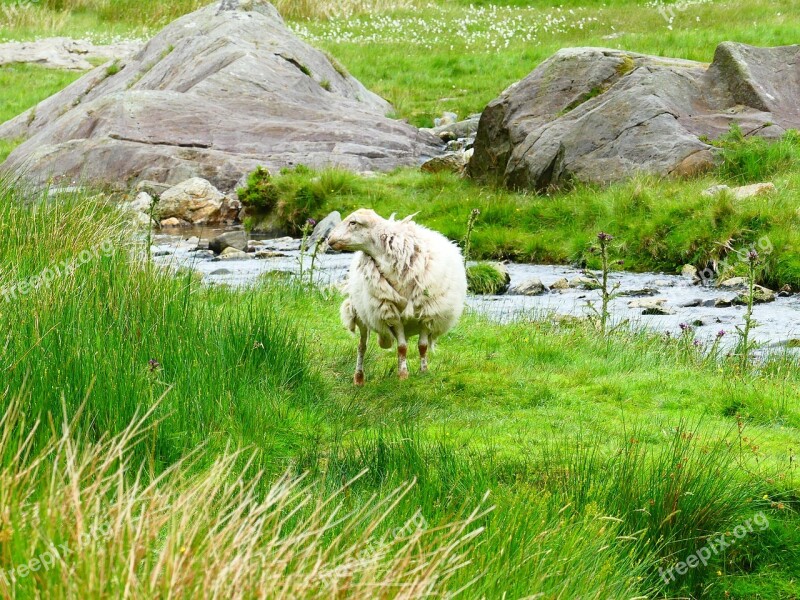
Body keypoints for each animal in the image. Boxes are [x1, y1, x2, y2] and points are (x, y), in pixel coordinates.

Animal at [326, 209, 468, 386]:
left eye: (353, 222)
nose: (329, 239)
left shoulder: (427, 314)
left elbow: (422, 346)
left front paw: (423, 371)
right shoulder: (392, 315)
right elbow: (402, 347)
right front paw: (403, 375)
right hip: (360, 315)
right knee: (362, 346)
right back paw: (359, 378)